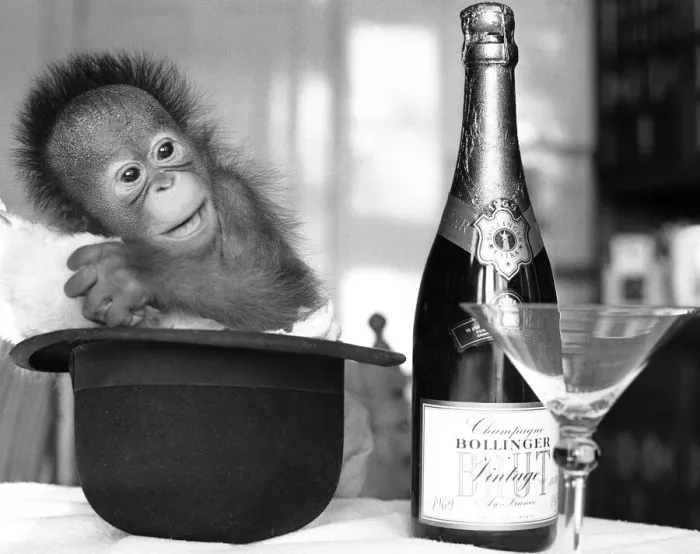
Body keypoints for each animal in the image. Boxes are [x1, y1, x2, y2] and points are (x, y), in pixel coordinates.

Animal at [13, 51, 326, 333]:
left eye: (165, 151)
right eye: (130, 175)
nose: (166, 184)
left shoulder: (235, 195)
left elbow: (283, 294)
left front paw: (139, 273)